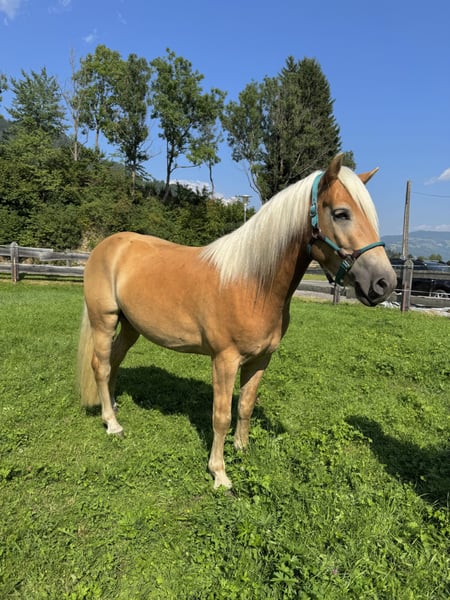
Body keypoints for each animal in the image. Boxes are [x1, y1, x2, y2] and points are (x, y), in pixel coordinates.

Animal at [77, 154, 396, 489]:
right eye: (341, 213)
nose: (384, 283)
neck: (252, 283)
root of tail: (106, 246)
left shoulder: (261, 359)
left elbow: (245, 405)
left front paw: (242, 449)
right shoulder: (224, 360)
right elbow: (221, 416)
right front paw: (219, 473)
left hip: (131, 327)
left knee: (114, 361)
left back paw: (112, 407)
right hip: (104, 321)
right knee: (101, 366)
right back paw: (112, 424)